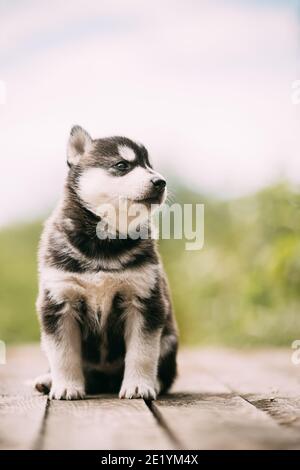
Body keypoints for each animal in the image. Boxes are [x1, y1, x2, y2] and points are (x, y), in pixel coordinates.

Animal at [34, 126, 178, 400]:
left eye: (149, 166)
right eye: (122, 165)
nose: (161, 181)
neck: (105, 241)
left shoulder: (145, 300)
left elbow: (142, 352)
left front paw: (138, 386)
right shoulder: (58, 301)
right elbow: (63, 354)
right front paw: (66, 386)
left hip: (168, 340)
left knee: (165, 372)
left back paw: (154, 383)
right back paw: (47, 380)